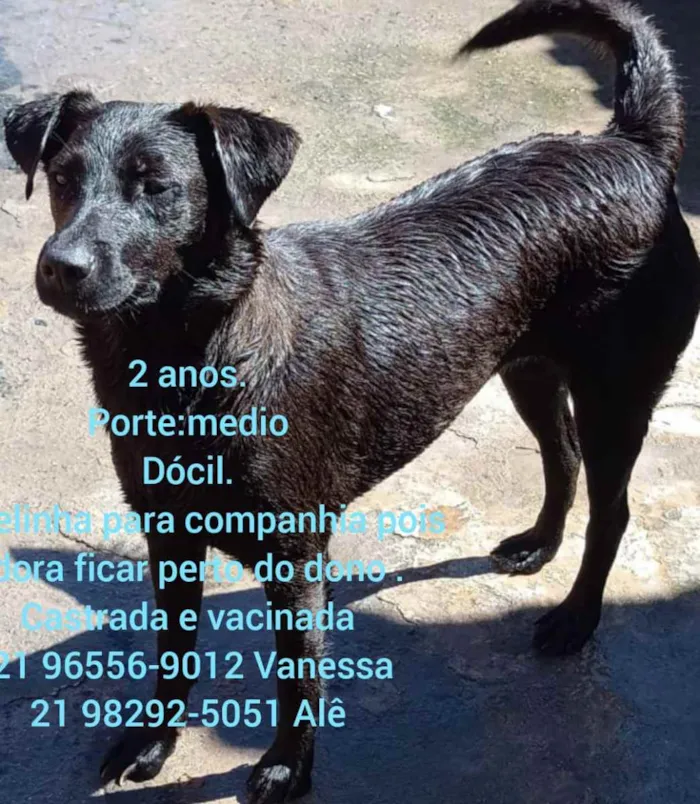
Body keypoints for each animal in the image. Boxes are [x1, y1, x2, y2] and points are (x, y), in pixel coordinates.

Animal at [4, 0, 700, 800]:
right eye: (61, 177)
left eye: (156, 187)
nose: (60, 267)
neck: (196, 357)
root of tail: (632, 144)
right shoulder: (169, 534)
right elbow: (174, 650)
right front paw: (152, 741)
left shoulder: (295, 554)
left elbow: (298, 678)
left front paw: (286, 767)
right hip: (526, 367)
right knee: (563, 456)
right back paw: (538, 545)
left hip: (618, 391)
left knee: (611, 508)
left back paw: (577, 617)